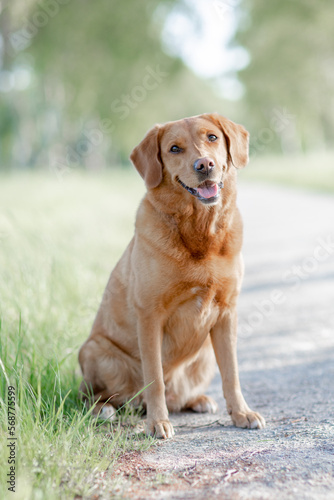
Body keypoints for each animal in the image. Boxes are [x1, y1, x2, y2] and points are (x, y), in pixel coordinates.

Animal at [78, 112, 266, 438]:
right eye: (174, 149)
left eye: (212, 137)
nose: (204, 164)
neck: (200, 231)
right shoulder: (150, 315)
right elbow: (154, 377)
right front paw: (157, 422)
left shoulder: (227, 313)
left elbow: (232, 374)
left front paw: (241, 413)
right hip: (94, 351)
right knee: (93, 395)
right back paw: (105, 409)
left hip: (204, 356)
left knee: (179, 394)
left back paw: (198, 400)